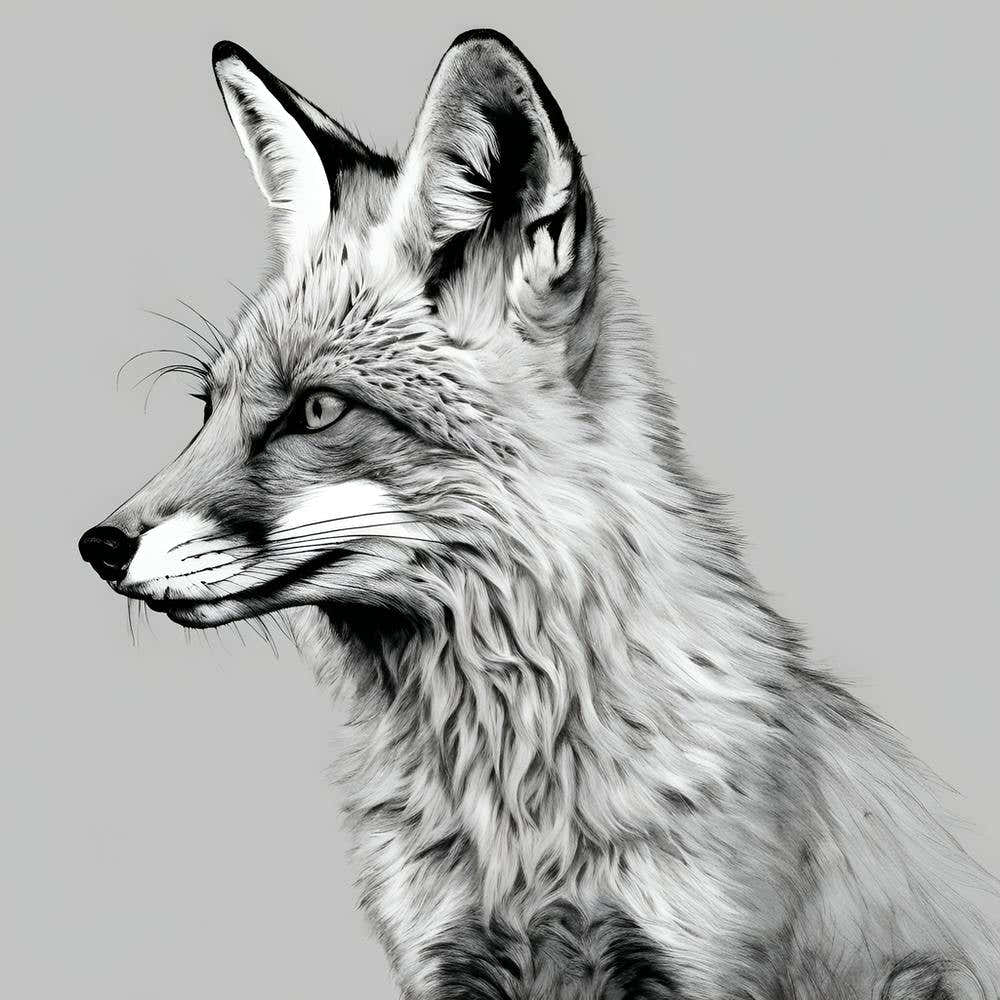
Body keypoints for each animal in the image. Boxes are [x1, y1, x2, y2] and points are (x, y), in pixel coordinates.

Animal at [78, 29, 998, 1000]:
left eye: (319, 410)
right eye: (206, 407)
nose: (98, 545)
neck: (514, 806)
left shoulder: (704, 963)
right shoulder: (448, 963)